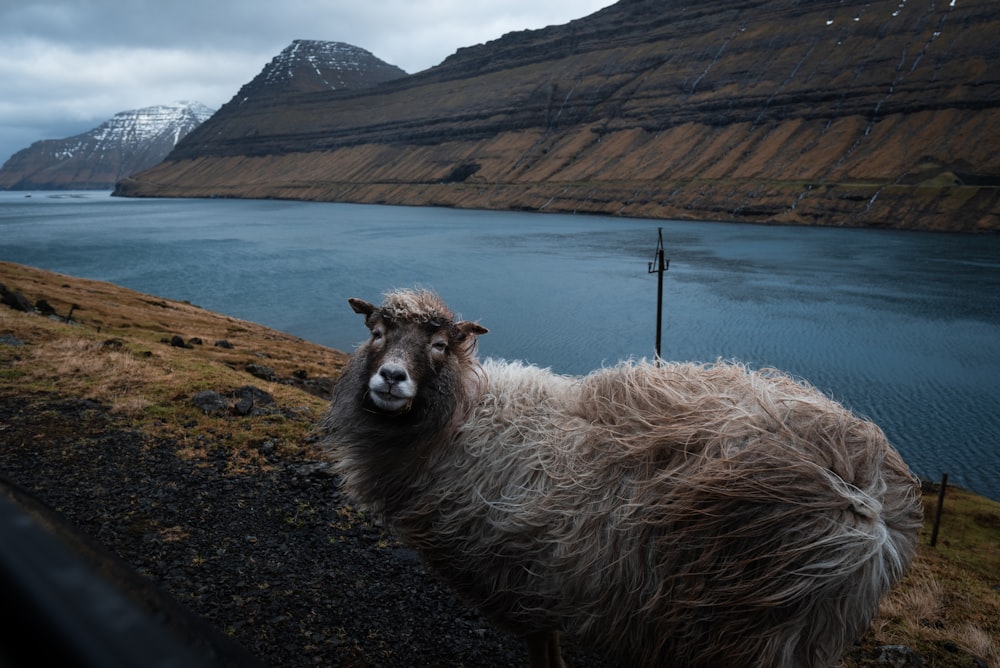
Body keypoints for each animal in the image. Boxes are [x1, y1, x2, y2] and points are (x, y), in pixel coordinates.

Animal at [320, 288, 920, 668]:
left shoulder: (520, 578)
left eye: (440, 345)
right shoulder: (540, 584)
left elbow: (545, 657)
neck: (460, 419)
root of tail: (868, 498)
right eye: (377, 332)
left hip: (746, 630)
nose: (391, 378)